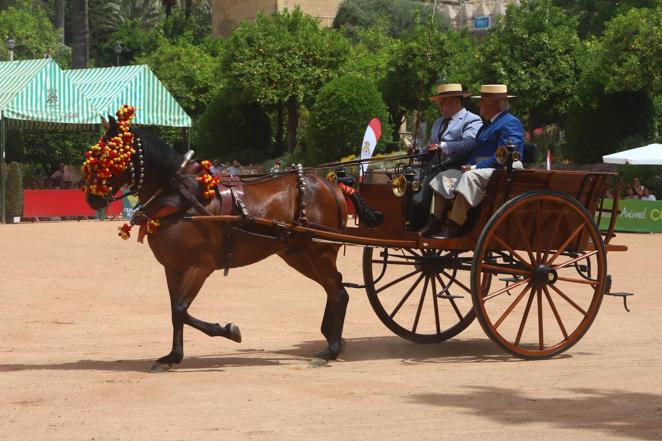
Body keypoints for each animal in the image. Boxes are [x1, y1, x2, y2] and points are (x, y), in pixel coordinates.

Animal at [87, 114, 352, 372]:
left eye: (108, 154)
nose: (91, 198)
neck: (181, 197)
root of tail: (328, 184)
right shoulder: (173, 269)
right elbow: (175, 312)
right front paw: (173, 356)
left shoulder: (199, 267)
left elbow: (181, 310)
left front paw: (229, 330)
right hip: (298, 254)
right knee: (334, 287)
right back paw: (330, 337)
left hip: (319, 251)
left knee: (338, 293)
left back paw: (330, 350)